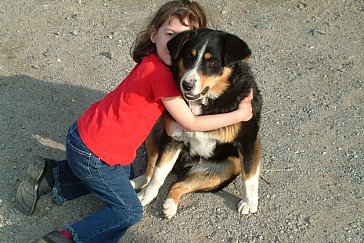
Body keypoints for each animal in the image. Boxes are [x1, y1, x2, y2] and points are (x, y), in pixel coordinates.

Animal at [131, 28, 262, 218]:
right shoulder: (174, 138)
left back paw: (169, 204)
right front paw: (146, 195)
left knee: (178, 184)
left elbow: (250, 174)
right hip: (155, 129)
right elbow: (159, 172)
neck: (206, 101)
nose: (186, 84)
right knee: (151, 170)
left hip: (226, 166)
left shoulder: (248, 139)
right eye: (189, 56)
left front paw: (250, 202)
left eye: (212, 62)